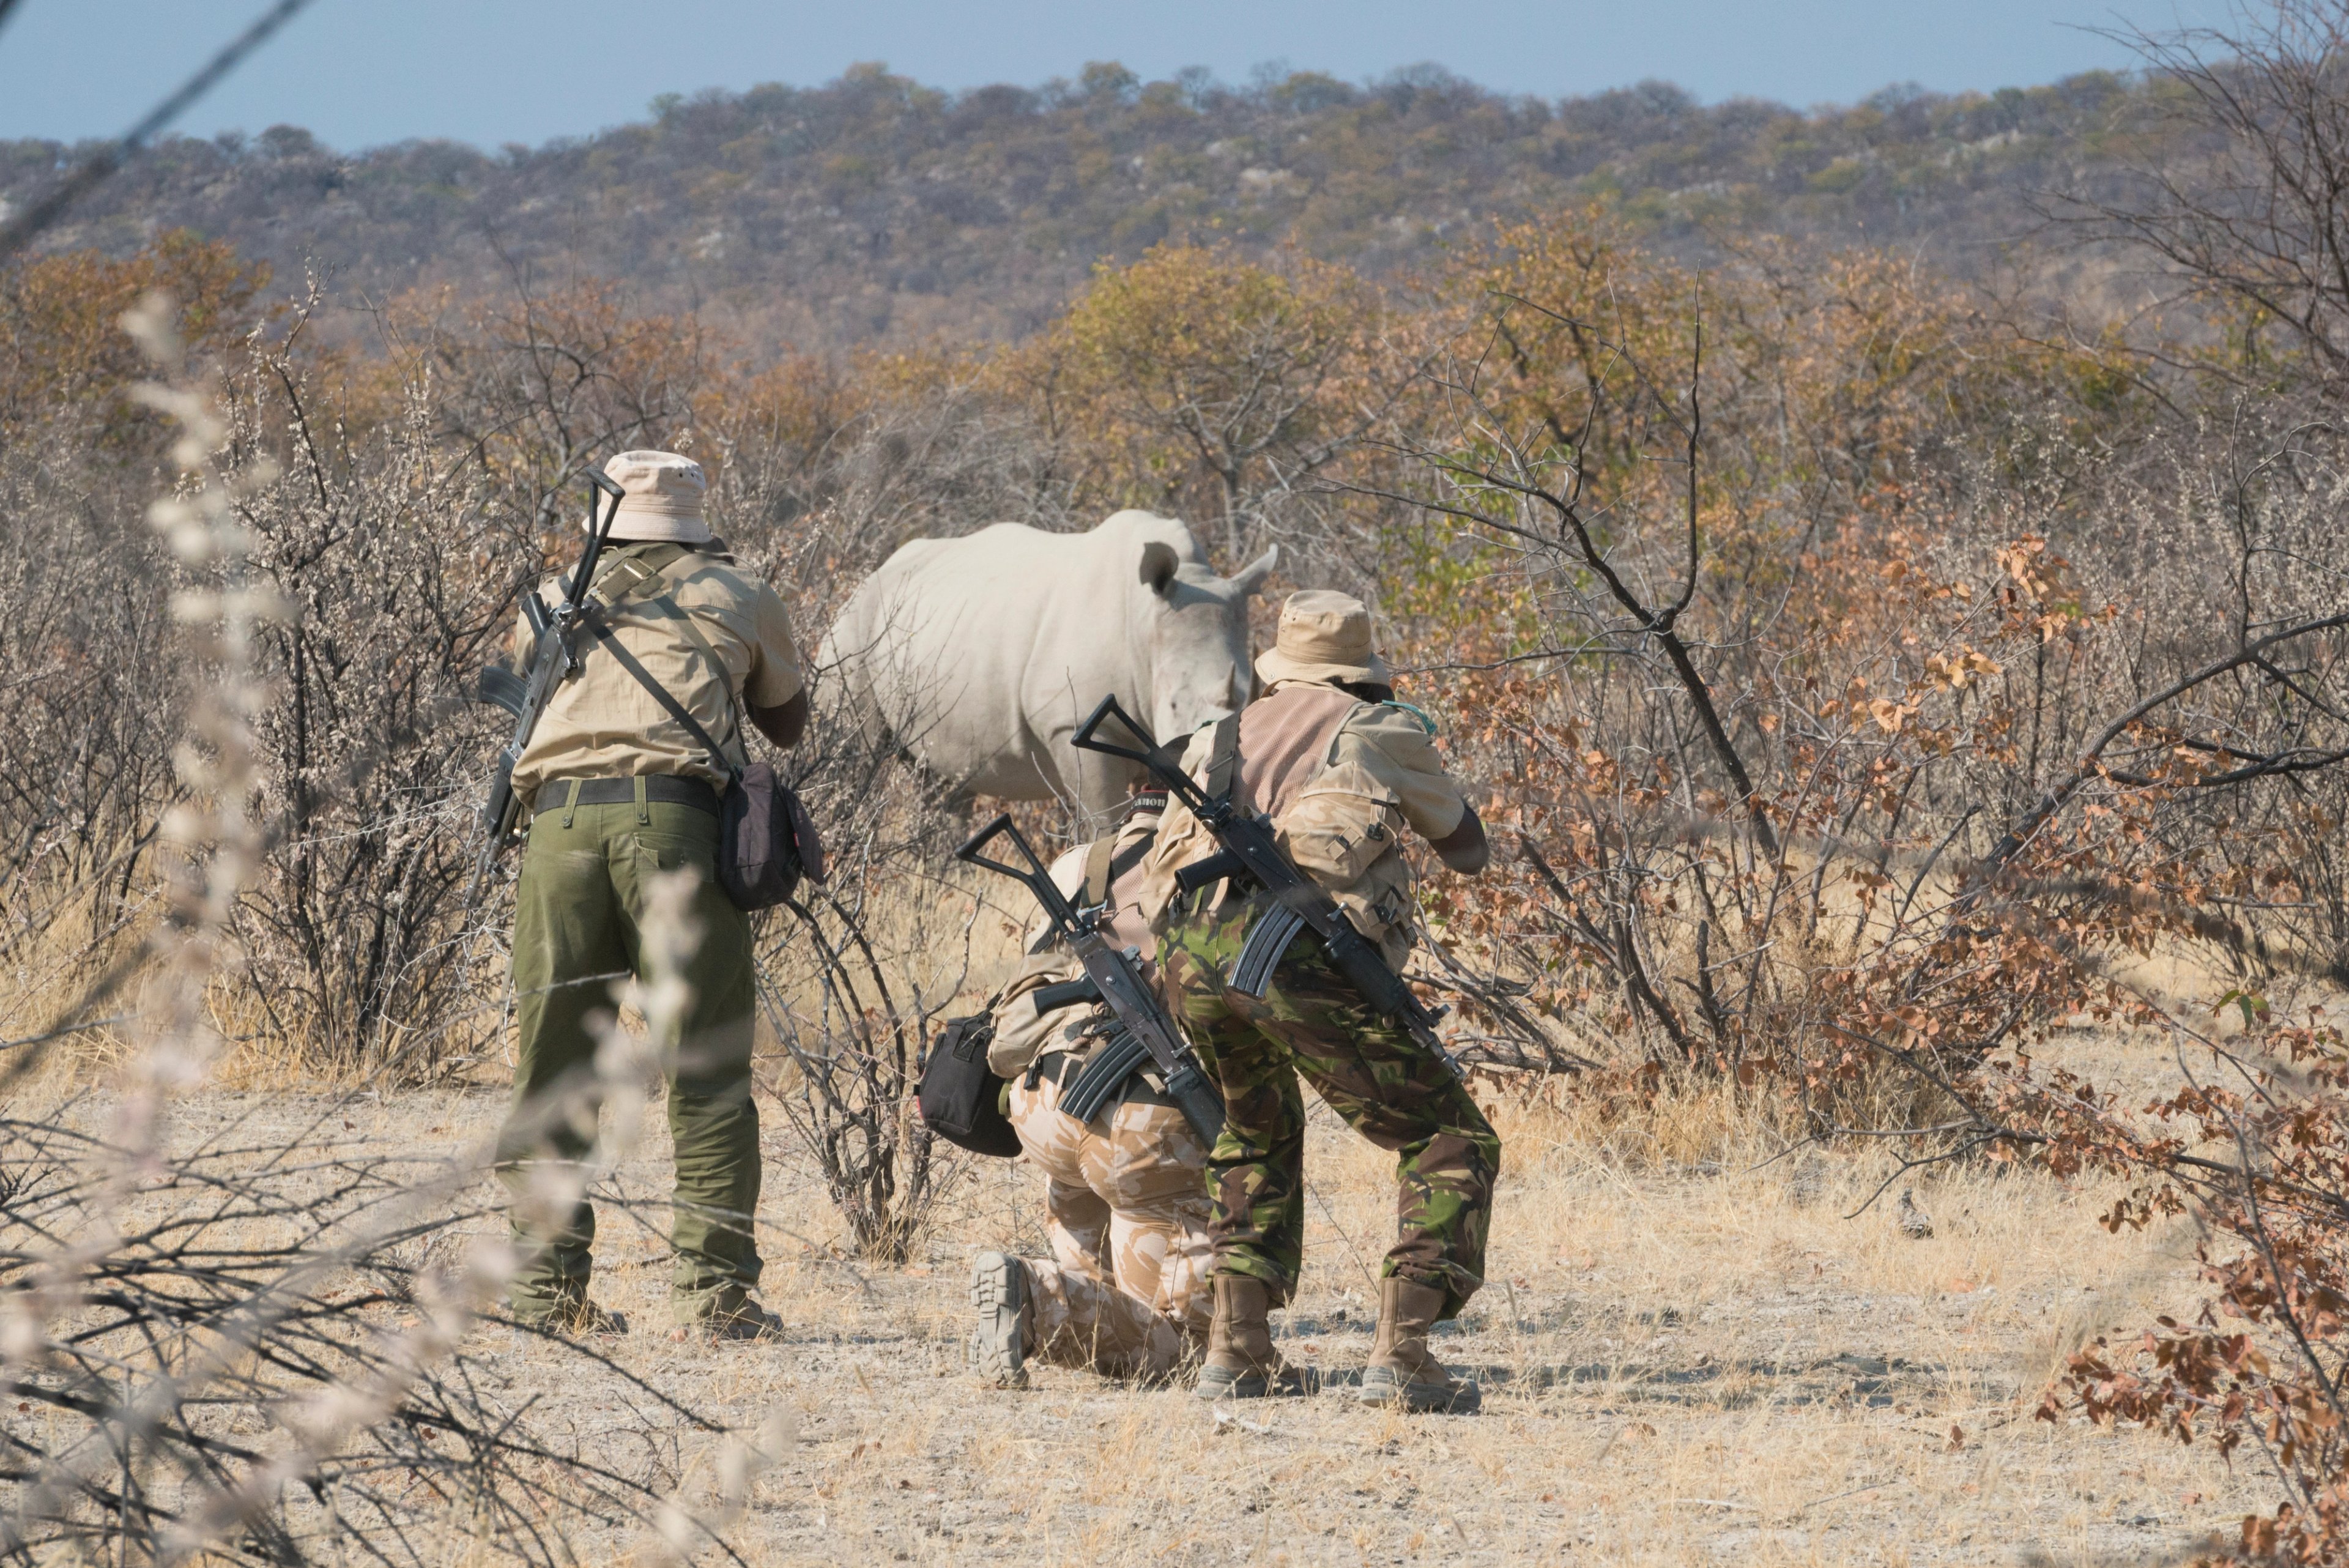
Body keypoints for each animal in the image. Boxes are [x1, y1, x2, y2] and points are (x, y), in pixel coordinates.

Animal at [818, 511, 1278, 814]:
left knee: (940, 781)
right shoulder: (1072, 721)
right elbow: (1105, 821)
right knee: (854, 760)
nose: (1207, 761)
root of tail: (867, 578)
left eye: (1250, 699)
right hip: (851, 636)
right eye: (1174, 704)